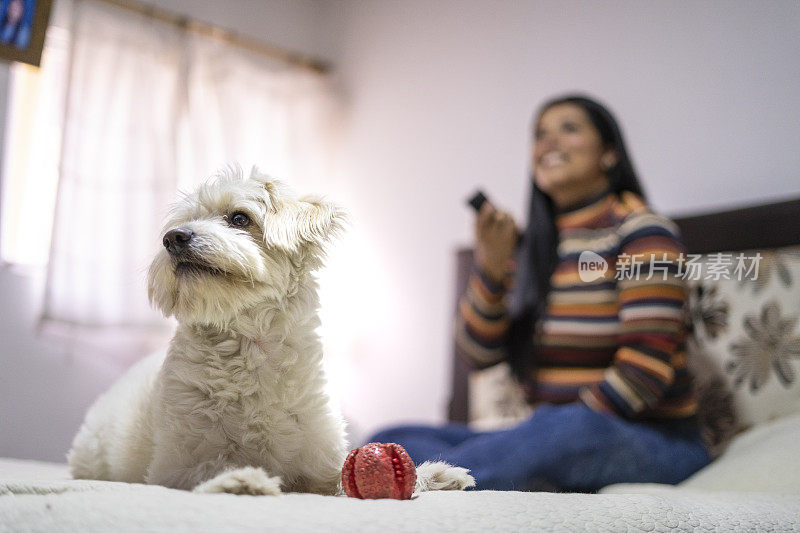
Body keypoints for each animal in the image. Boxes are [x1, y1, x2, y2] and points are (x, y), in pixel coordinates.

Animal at [67, 166, 476, 494]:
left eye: (239, 218)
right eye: (176, 227)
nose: (173, 239)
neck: (249, 347)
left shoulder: (320, 464)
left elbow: (342, 476)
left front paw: (435, 475)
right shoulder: (175, 465)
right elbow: (206, 468)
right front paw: (241, 478)